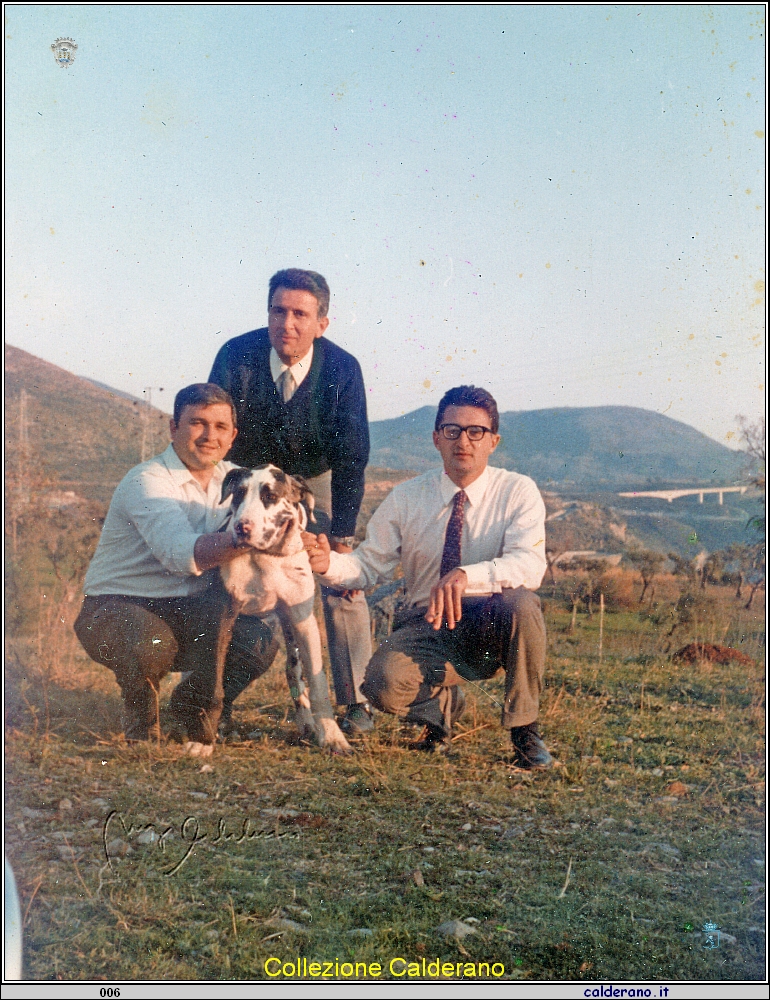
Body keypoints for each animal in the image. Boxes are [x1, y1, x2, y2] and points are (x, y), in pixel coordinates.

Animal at [184, 464, 352, 752]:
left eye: (270, 497)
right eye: (239, 494)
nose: (242, 527)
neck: (266, 557)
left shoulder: (304, 621)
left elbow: (318, 683)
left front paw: (332, 736)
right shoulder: (222, 615)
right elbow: (213, 682)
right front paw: (202, 739)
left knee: (293, 671)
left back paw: (307, 724)